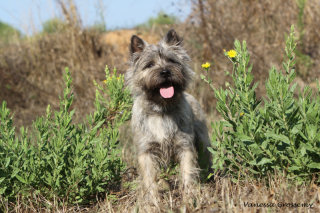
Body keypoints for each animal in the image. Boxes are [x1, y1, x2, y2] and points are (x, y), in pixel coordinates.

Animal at [125, 28, 212, 203]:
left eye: (171, 60)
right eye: (150, 64)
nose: (165, 72)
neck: (161, 111)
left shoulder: (185, 146)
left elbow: (187, 172)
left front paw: (189, 197)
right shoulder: (147, 151)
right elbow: (150, 179)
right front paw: (153, 201)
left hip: (203, 142)